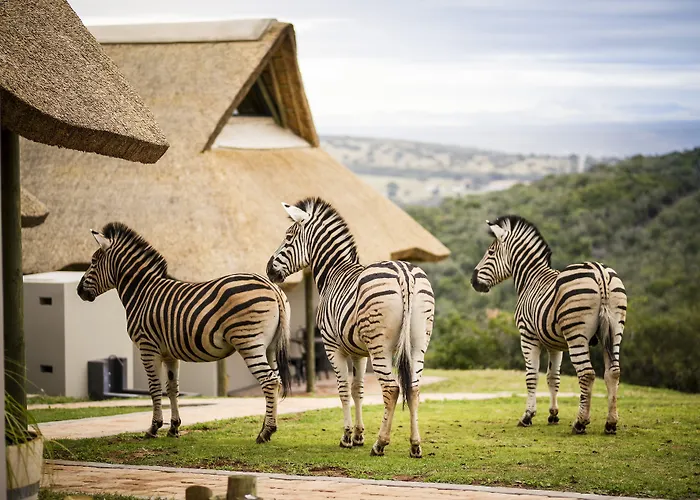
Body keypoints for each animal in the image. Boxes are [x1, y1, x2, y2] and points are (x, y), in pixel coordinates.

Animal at [76, 222, 291, 443]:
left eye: (93, 261)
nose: (78, 291)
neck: (142, 292)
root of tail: (272, 287)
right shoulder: (169, 354)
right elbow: (172, 388)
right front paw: (174, 427)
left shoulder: (147, 348)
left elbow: (154, 388)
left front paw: (153, 428)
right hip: (270, 346)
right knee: (276, 380)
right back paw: (268, 427)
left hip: (249, 342)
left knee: (269, 381)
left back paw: (265, 432)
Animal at [266, 198, 435, 458]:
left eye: (288, 237)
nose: (268, 270)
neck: (334, 272)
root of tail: (404, 273)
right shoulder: (359, 353)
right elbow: (358, 390)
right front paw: (358, 435)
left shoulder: (332, 346)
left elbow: (344, 389)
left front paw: (346, 436)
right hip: (418, 343)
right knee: (414, 389)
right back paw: (415, 445)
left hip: (380, 347)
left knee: (392, 389)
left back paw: (380, 443)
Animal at [471, 215, 626, 435]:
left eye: (491, 252)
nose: (473, 281)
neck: (530, 279)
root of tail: (600, 272)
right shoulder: (556, 344)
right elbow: (553, 377)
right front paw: (553, 415)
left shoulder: (527, 336)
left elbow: (532, 376)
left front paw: (527, 416)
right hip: (615, 331)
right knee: (613, 372)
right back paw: (611, 423)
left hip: (577, 334)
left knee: (587, 374)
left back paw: (580, 423)